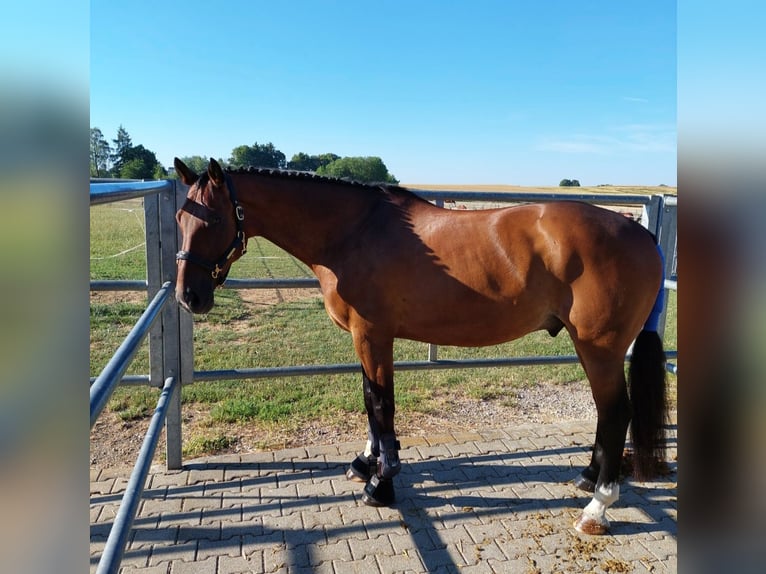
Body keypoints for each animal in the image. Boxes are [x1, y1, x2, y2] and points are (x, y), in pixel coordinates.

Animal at [173, 157, 668, 535]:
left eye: (213, 219)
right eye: (179, 219)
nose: (188, 296)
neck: (353, 232)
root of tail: (641, 234)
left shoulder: (372, 335)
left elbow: (381, 404)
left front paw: (382, 483)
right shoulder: (367, 339)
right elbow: (370, 399)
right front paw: (364, 463)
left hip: (599, 349)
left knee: (615, 412)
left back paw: (597, 507)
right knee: (607, 414)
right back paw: (587, 478)